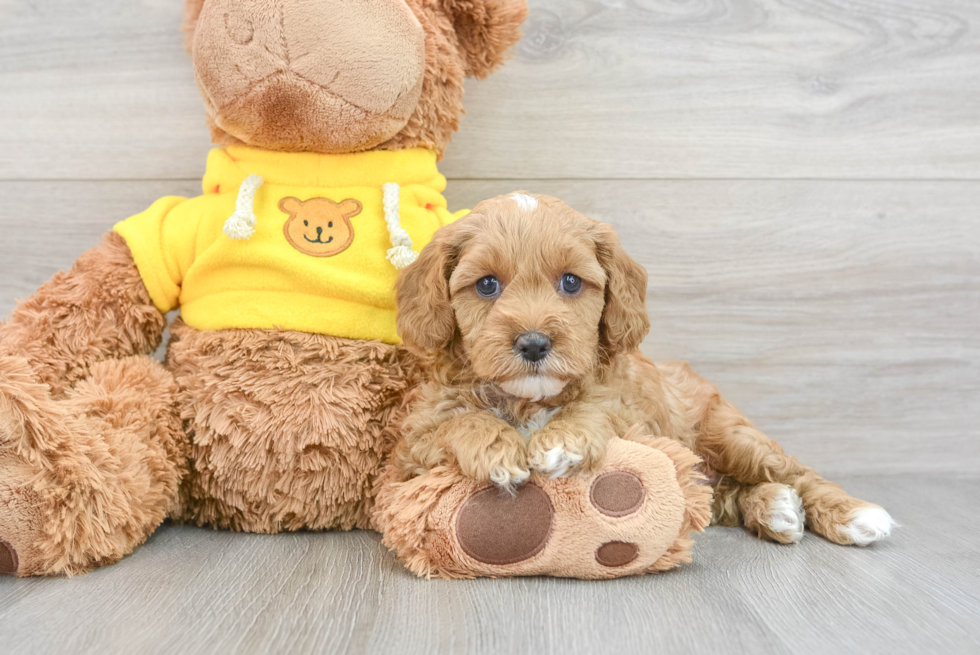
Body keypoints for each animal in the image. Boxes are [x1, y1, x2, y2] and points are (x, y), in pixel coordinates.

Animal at [394, 191, 900, 548]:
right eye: (487, 285)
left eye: (571, 282)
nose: (534, 343)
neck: (530, 400)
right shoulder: (409, 452)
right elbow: (454, 423)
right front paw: (495, 447)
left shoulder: (636, 418)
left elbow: (599, 408)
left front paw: (563, 439)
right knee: (725, 494)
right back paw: (774, 506)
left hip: (730, 435)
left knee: (795, 471)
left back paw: (852, 514)